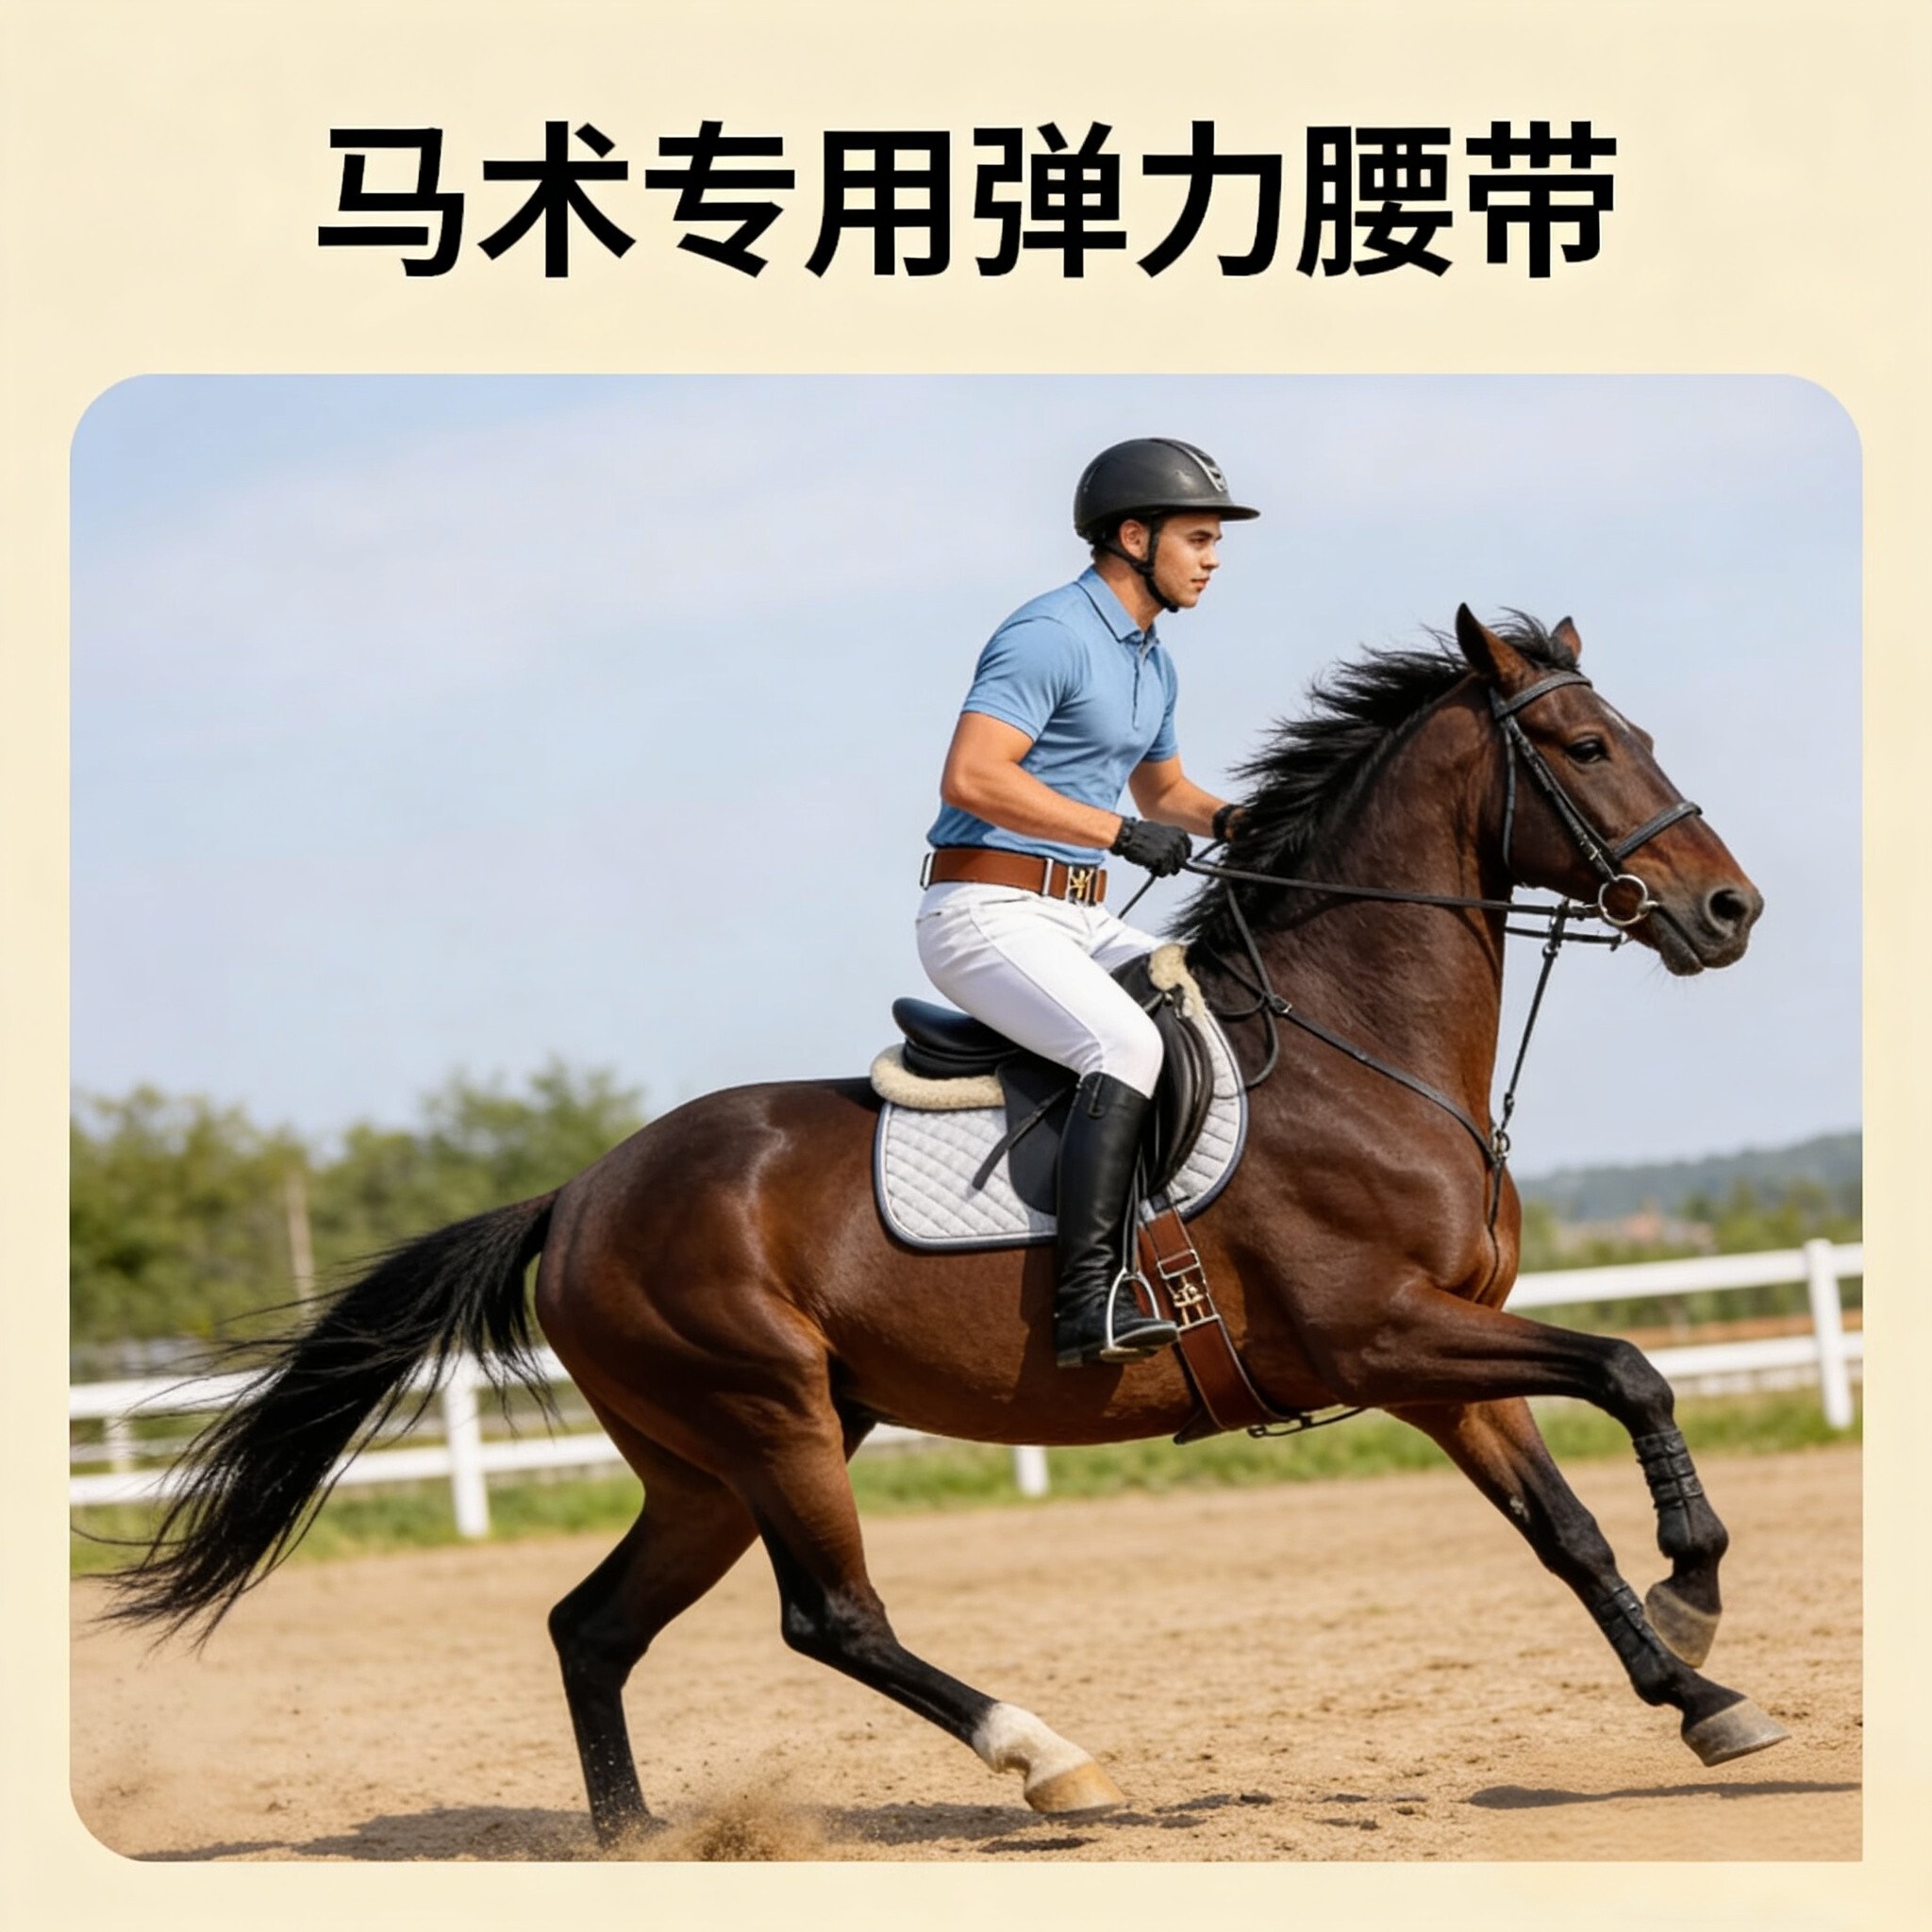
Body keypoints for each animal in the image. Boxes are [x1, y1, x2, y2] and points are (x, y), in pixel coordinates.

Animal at [107, 605, 1786, 1844]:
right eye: (1584, 746)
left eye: (1638, 734)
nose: (1729, 914)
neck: (1355, 1045)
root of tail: (577, 1195)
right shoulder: (1384, 1337)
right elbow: (1635, 1370)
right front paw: (1697, 1597)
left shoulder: (1442, 1355)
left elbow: (1564, 1526)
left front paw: (1701, 1690)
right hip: (768, 1417)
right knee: (831, 1617)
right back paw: (1052, 1762)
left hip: (714, 1458)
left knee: (595, 1625)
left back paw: (636, 1839)